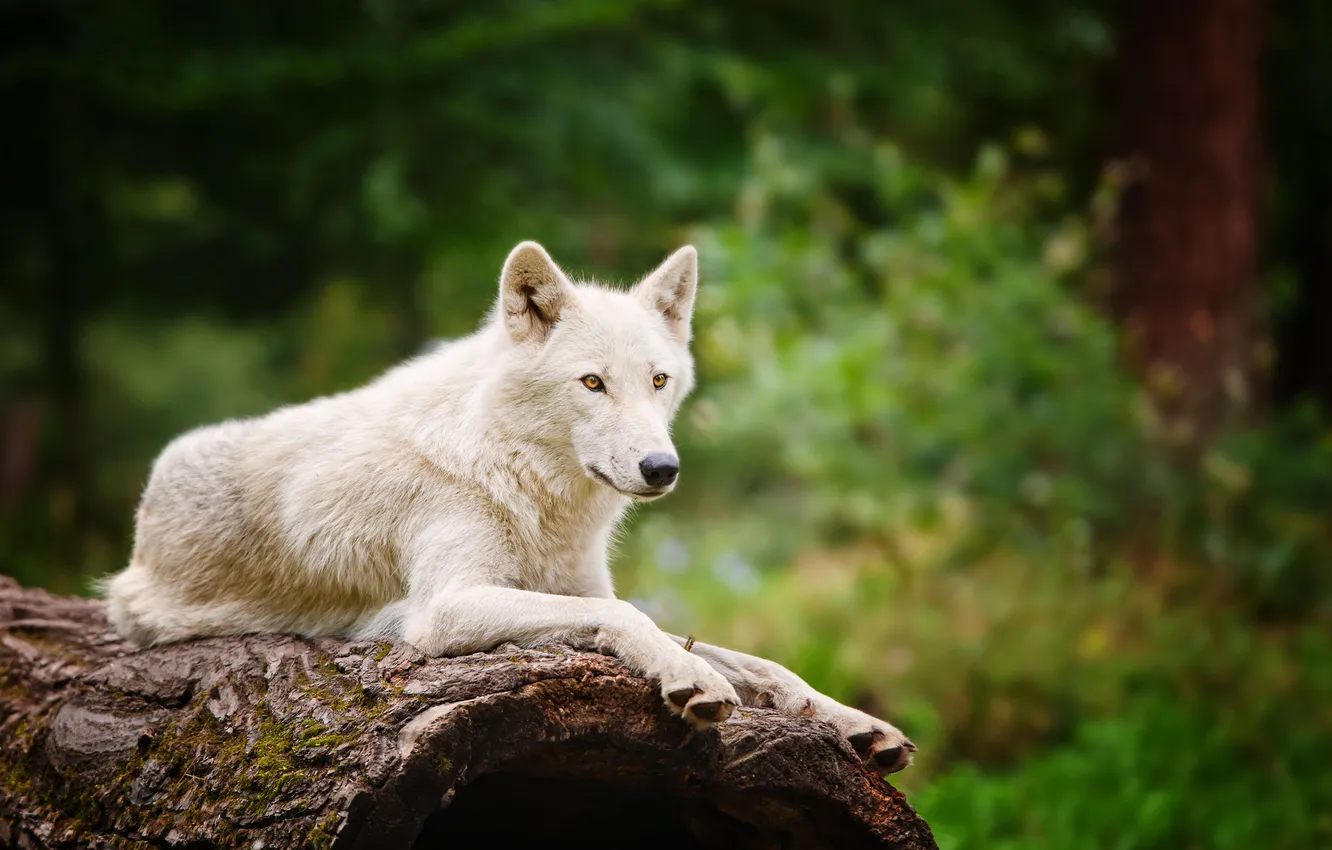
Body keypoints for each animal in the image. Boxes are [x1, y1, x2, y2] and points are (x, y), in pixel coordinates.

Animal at [101, 241, 915, 772]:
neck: (520, 479)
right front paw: (692, 680)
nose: (662, 468)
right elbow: (633, 620)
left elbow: (762, 662)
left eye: (658, 380)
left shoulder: (577, 585)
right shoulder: (445, 609)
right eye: (592, 383)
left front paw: (857, 723)